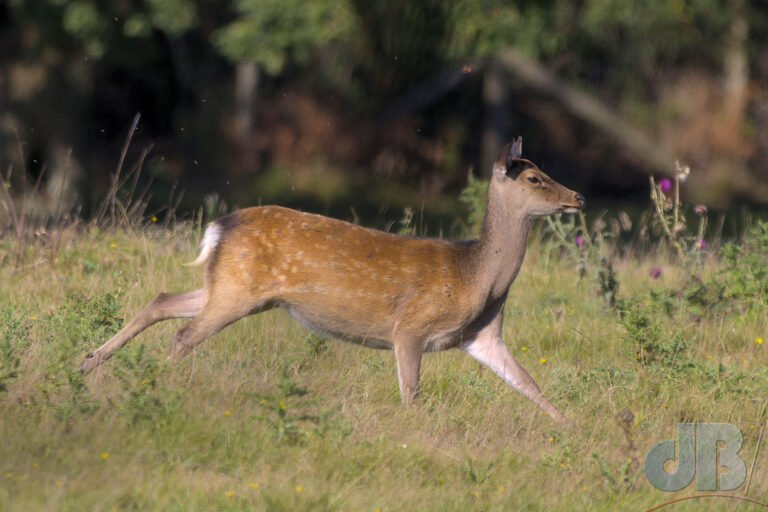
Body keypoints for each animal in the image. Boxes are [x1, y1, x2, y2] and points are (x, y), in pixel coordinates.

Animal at [79, 138, 584, 422]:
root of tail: (218, 226)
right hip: (238, 292)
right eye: (535, 178)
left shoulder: (482, 336)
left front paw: (572, 429)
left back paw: (87, 364)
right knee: (183, 335)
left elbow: (529, 383)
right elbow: (411, 391)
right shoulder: (411, 327)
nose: (577, 196)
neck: (476, 278)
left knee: (162, 300)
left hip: (229, 285)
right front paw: (412, 433)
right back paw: (154, 387)